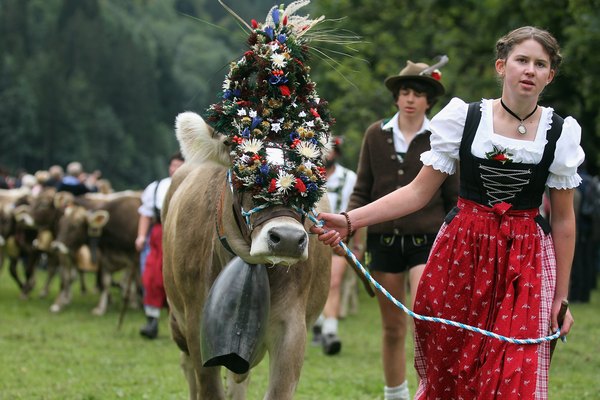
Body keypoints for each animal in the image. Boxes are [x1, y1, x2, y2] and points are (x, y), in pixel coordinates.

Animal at [163, 112, 332, 400]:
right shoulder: (198, 325)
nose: (287, 238)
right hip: (177, 320)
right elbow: (208, 388)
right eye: (237, 153)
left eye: (308, 162)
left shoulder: (293, 328)